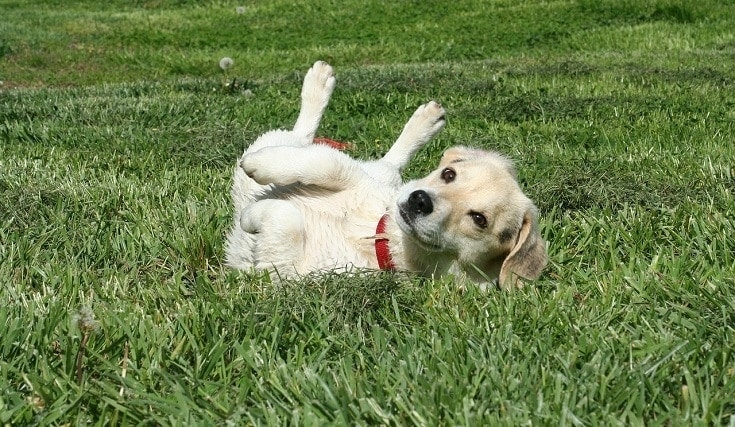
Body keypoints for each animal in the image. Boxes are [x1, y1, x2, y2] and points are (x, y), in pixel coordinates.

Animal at [224, 60, 548, 290]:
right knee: (330, 147)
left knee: (304, 137)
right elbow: (327, 163)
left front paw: (250, 215)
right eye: (448, 174)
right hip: (375, 174)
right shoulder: (353, 179)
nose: (419, 200)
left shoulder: (290, 278)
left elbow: (284, 219)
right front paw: (263, 165)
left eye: (479, 220)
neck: (377, 235)